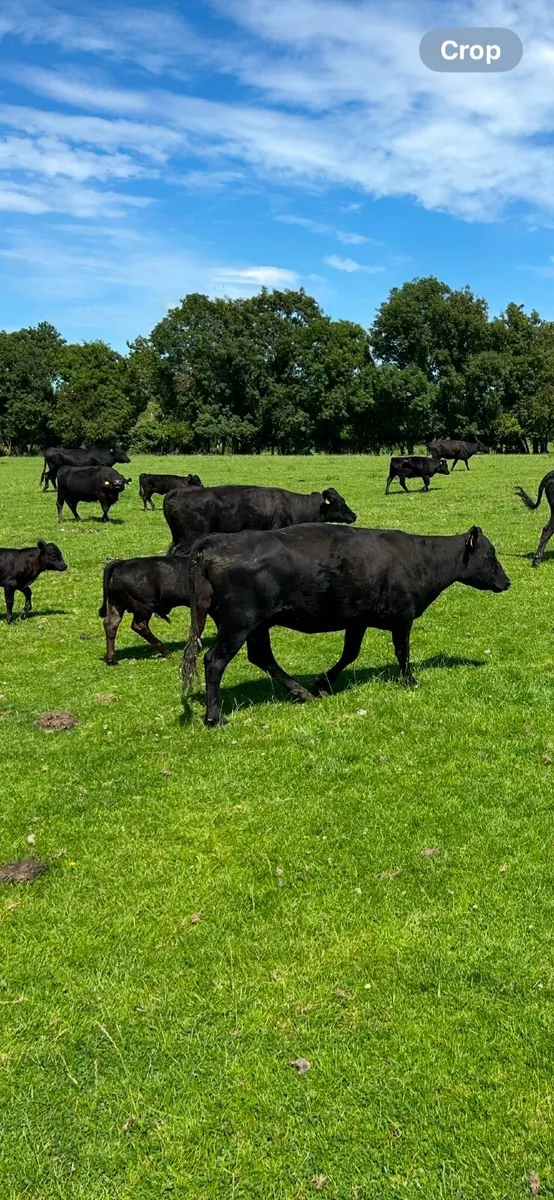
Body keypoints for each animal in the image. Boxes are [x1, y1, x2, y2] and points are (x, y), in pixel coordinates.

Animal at [180, 522, 511, 726]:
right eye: (491, 556)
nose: (507, 582)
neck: (421, 558)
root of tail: (218, 541)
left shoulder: (358, 618)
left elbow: (350, 653)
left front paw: (323, 684)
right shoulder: (403, 616)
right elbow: (402, 652)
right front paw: (410, 681)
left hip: (256, 626)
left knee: (261, 657)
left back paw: (300, 692)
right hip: (239, 623)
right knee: (215, 661)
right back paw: (215, 717)